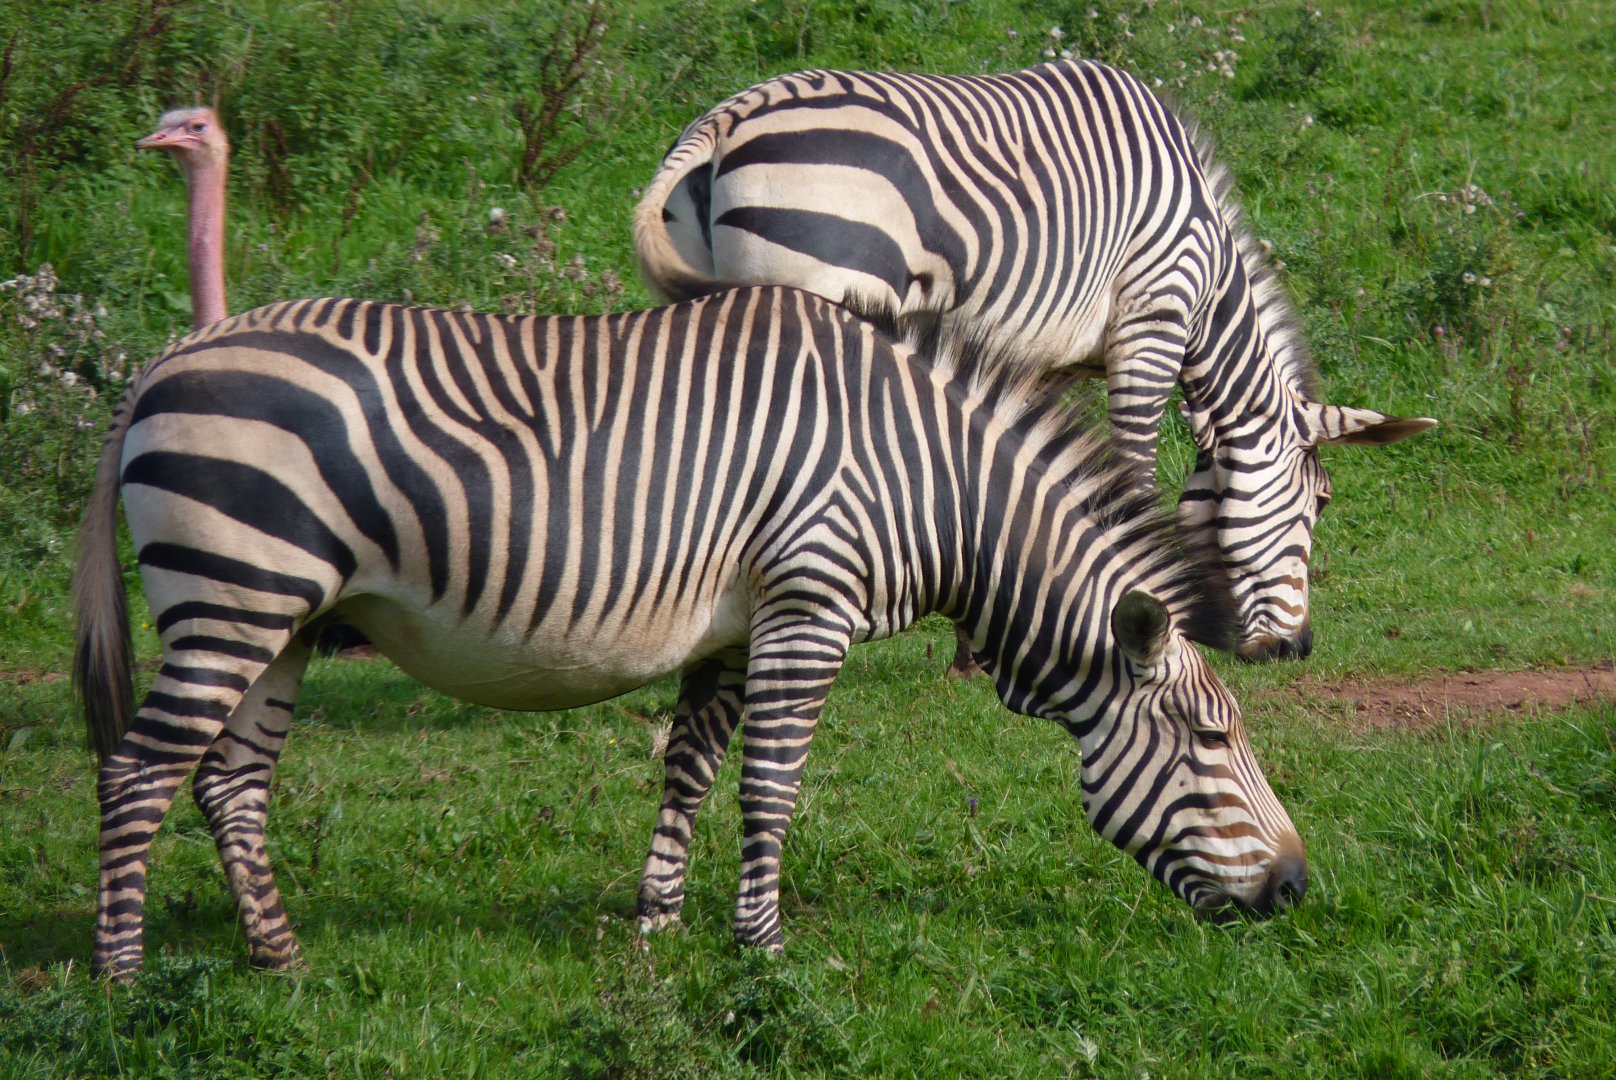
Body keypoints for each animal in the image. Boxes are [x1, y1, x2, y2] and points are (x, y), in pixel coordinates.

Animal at [76, 286, 1306, 979]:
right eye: (1213, 740)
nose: (1295, 890)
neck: (935, 481)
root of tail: (164, 362)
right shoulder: (810, 600)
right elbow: (770, 784)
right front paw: (762, 949)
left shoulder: (732, 625)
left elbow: (690, 770)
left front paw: (658, 925)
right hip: (236, 593)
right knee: (137, 775)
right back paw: (124, 980)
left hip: (278, 617)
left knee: (229, 783)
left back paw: (278, 958)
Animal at [634, 59, 1436, 666]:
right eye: (1320, 503)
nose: (1297, 649)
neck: (1209, 275)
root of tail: (725, 119)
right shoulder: (1152, 318)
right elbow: (1130, 467)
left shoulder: (1039, 359)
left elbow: (1005, 477)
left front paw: (978, 644)